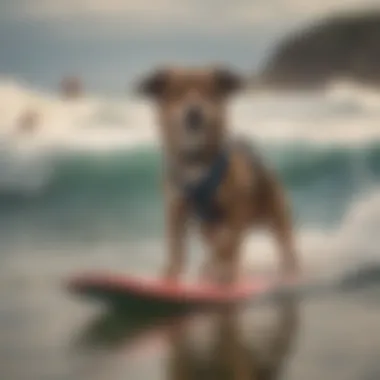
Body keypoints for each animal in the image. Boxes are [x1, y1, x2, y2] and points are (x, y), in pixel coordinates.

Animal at [137, 66, 300, 284]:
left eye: (209, 92)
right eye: (177, 93)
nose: (194, 112)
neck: (196, 160)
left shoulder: (236, 210)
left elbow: (229, 244)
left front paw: (224, 270)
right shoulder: (176, 210)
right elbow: (176, 247)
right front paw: (171, 276)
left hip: (277, 215)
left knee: (284, 244)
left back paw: (289, 271)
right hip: (207, 226)